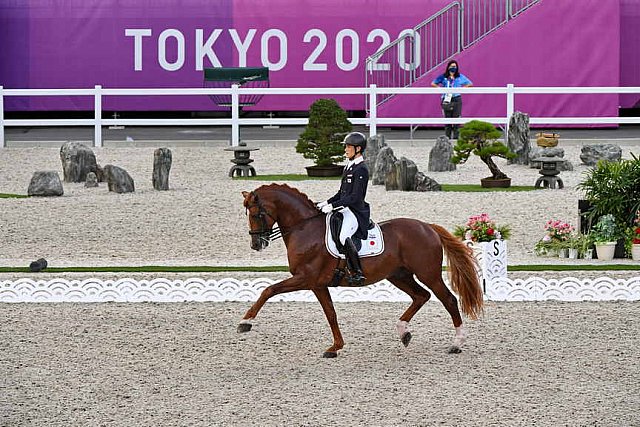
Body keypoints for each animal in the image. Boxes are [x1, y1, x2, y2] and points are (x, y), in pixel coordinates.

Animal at [239, 184, 480, 358]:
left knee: (448, 299)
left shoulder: (306, 279)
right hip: (398, 275)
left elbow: (269, 290)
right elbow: (331, 314)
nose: (256, 244)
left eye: (257, 214)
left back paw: (456, 344)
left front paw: (246, 322)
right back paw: (403, 332)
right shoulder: (317, 284)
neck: (304, 228)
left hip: (428, 274)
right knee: (421, 296)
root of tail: (427, 227)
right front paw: (335, 347)